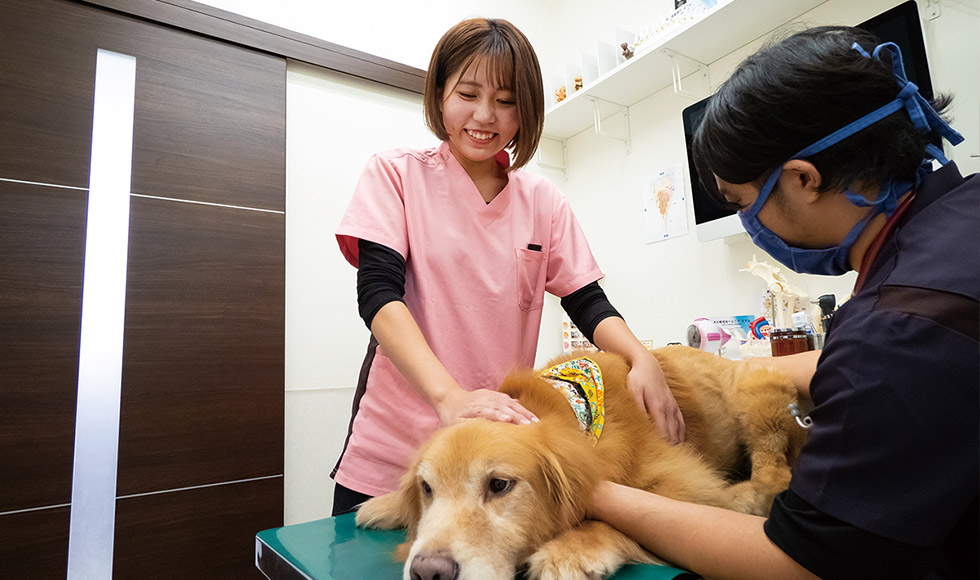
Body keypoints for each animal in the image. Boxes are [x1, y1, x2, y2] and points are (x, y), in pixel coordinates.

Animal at [356, 346, 808, 576]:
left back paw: (746, 496)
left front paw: (572, 550)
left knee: (773, 472)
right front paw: (386, 503)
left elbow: (614, 511)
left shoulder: (689, 484)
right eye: (426, 489)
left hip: (759, 392)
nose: (428, 571)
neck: (572, 405)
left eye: (499, 485)